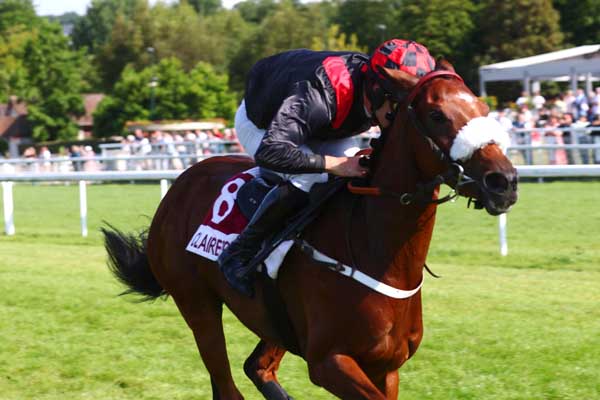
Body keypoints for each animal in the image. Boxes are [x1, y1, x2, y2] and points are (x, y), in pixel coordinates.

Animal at [102, 60, 516, 400]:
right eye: (436, 114)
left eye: (484, 109)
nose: (504, 181)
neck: (377, 249)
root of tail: (181, 183)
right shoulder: (329, 361)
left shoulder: (387, 367)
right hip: (197, 303)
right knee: (226, 384)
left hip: (274, 321)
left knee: (257, 367)